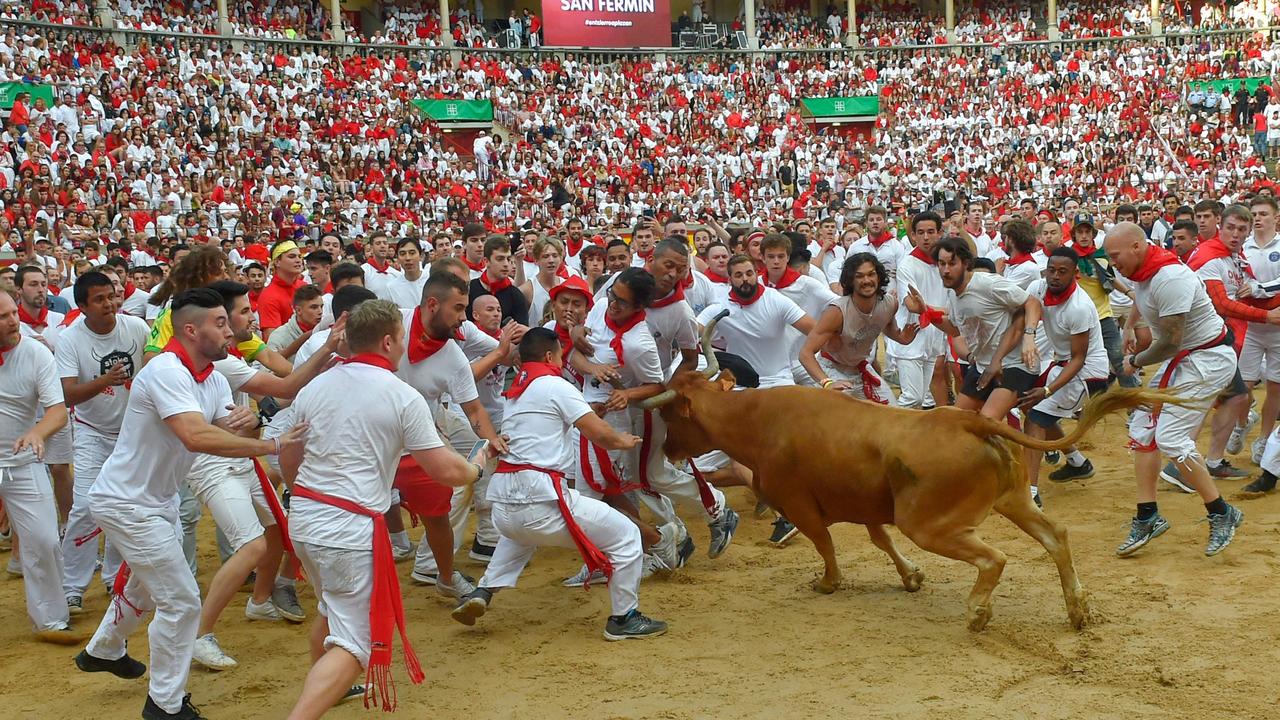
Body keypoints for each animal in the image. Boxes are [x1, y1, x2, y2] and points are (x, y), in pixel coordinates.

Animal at [645, 316, 1172, 625]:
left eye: (670, 414)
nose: (667, 448)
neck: (759, 421)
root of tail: (963, 418)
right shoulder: (866, 505)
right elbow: (881, 540)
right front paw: (911, 577)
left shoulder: (800, 505)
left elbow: (826, 544)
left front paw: (829, 583)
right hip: (1012, 500)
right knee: (1055, 536)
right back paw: (1077, 610)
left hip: (929, 523)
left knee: (994, 558)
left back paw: (978, 612)